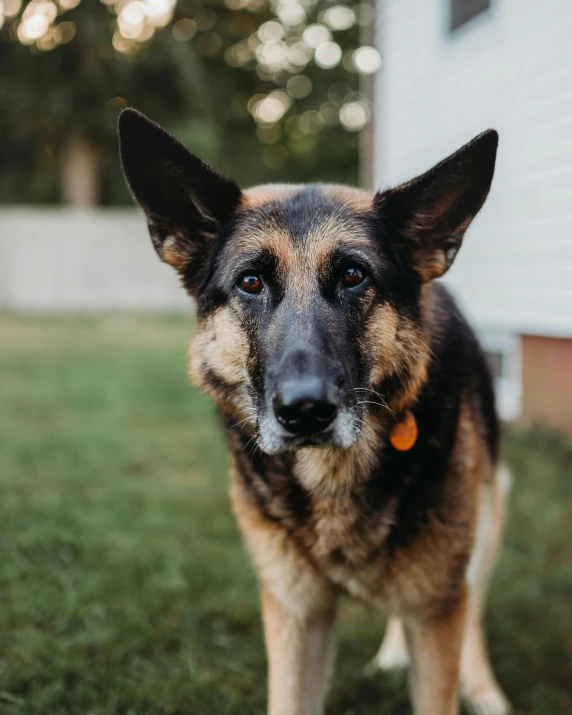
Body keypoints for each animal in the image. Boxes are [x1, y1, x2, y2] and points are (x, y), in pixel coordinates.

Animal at [118, 109, 512, 715]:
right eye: (250, 282)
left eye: (353, 276)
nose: (305, 412)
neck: (332, 479)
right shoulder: (297, 616)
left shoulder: (436, 609)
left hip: (488, 517)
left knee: (474, 605)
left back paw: (485, 690)